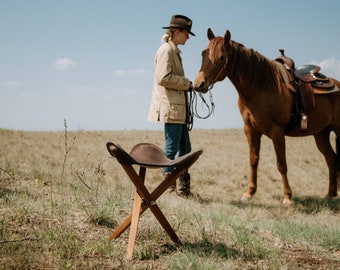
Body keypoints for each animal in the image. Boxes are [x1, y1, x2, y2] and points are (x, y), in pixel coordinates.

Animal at [193, 28, 340, 205]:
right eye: (203, 54)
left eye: (222, 57)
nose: (199, 84)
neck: (262, 87)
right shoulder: (251, 131)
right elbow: (253, 160)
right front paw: (249, 193)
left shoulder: (277, 133)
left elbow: (281, 164)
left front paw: (287, 197)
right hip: (321, 134)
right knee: (331, 159)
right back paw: (330, 194)